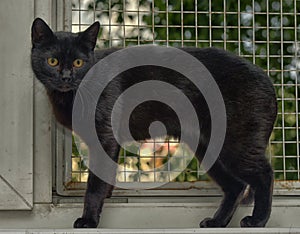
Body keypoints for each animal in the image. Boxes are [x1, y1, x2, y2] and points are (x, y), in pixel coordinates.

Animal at [30, 18, 276, 229]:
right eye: (52, 61)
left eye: (78, 62)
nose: (65, 77)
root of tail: (267, 79)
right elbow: (106, 176)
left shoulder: (104, 137)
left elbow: (95, 184)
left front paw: (88, 220)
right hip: (208, 147)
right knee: (236, 186)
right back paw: (217, 222)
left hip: (235, 142)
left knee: (264, 174)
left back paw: (257, 220)